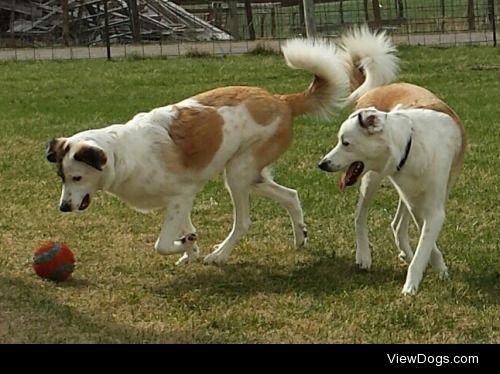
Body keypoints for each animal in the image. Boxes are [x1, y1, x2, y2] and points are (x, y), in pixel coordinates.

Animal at [318, 81, 466, 292]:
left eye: (345, 143)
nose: (322, 164)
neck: (409, 145)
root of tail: (382, 86)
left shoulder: (432, 208)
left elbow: (425, 245)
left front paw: (430, 274)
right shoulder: (418, 206)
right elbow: (426, 244)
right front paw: (424, 276)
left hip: (405, 192)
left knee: (397, 224)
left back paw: (406, 254)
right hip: (372, 179)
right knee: (360, 216)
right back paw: (364, 255)